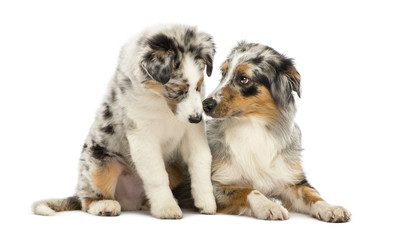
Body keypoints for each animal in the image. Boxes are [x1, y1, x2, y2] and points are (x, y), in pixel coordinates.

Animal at [32, 25, 216, 218]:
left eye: (198, 86)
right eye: (178, 91)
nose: (196, 118)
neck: (161, 103)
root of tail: (129, 201)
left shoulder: (192, 131)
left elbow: (202, 160)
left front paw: (206, 202)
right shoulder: (142, 135)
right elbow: (157, 175)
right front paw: (167, 208)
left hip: (175, 167)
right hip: (100, 163)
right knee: (87, 199)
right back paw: (104, 205)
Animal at [204, 41, 350, 223]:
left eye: (243, 79)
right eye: (223, 73)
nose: (205, 104)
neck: (253, 128)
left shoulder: (291, 181)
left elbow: (312, 194)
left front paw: (331, 208)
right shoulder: (215, 186)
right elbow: (248, 190)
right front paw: (269, 206)